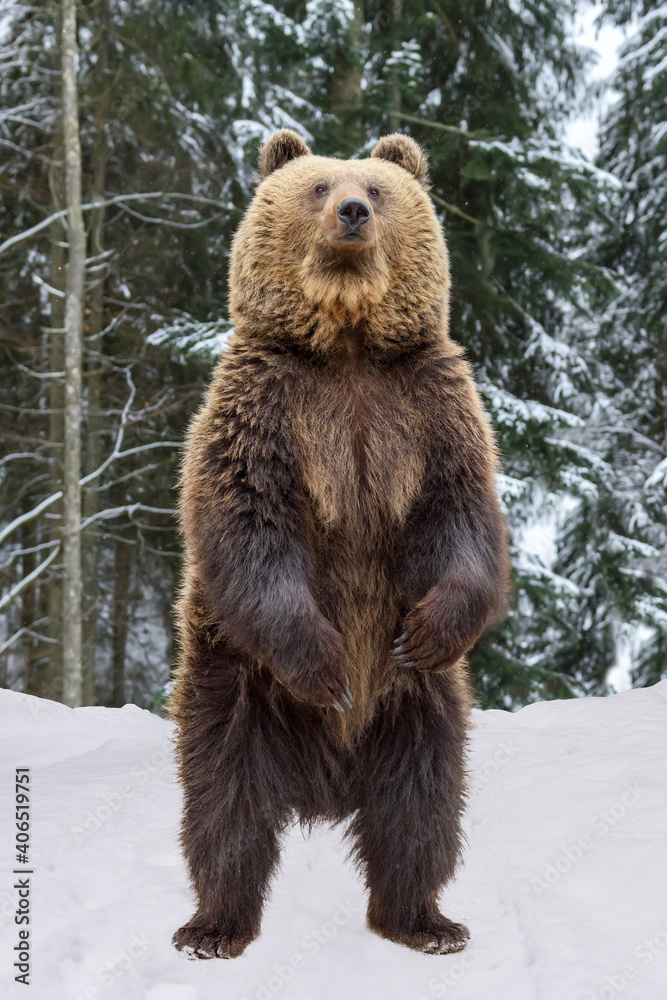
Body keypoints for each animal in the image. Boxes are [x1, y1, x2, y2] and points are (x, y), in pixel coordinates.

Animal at [168, 127, 512, 960]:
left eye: (378, 189)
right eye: (318, 186)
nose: (352, 211)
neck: (348, 343)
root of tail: (326, 785)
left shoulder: (428, 412)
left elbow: (460, 521)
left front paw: (431, 628)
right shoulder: (264, 411)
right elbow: (250, 528)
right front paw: (325, 664)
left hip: (419, 708)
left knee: (420, 808)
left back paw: (424, 920)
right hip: (237, 684)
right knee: (224, 805)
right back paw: (214, 926)